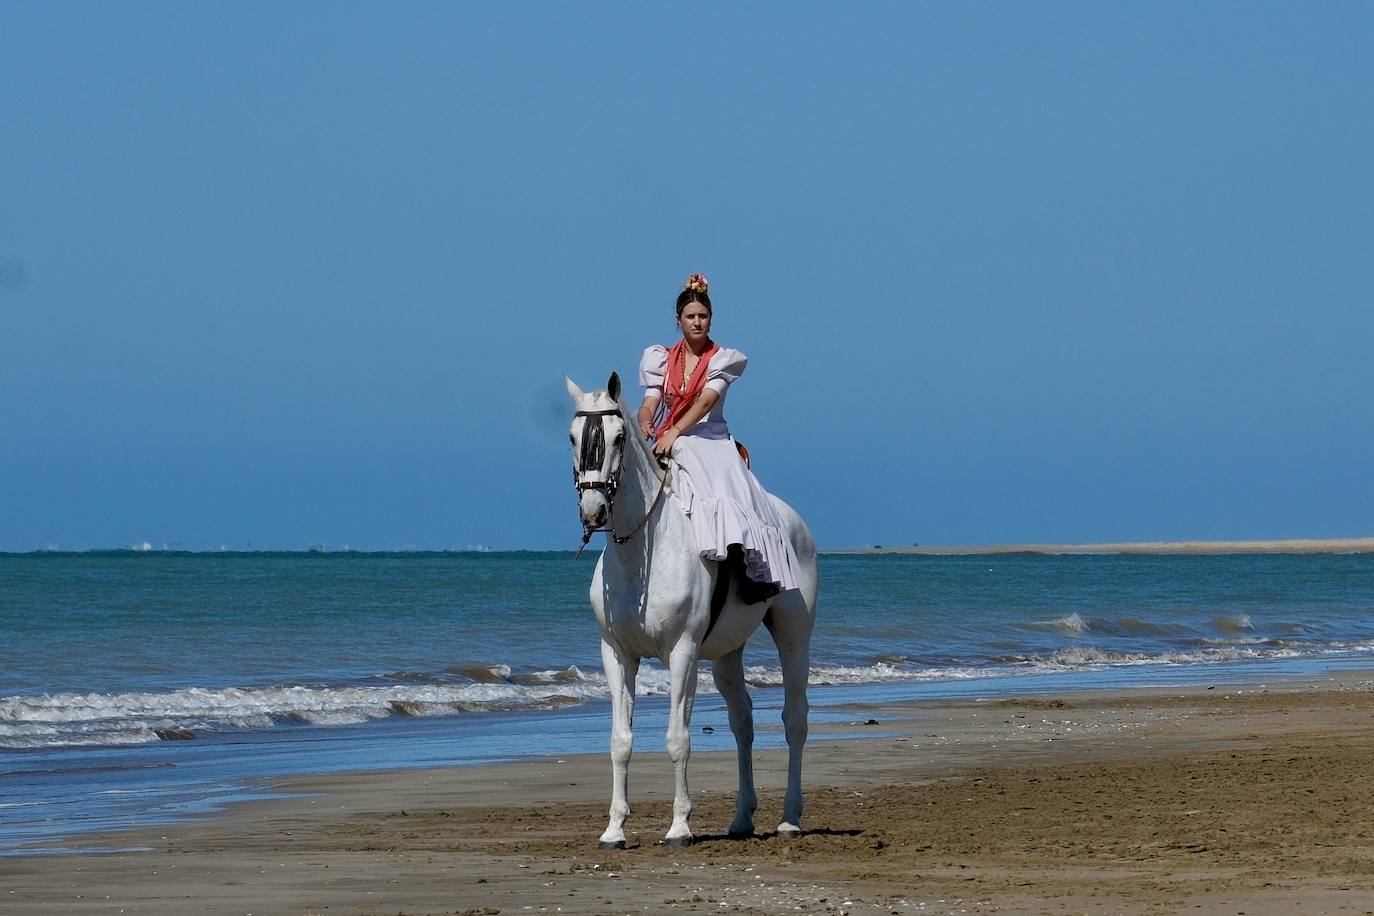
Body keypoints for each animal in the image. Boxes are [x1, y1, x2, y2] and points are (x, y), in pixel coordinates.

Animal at [566, 376, 813, 851]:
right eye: (572, 437)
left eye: (619, 437)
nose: (593, 512)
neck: (643, 554)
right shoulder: (616, 655)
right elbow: (620, 741)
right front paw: (614, 830)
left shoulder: (681, 654)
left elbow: (677, 738)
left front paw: (680, 826)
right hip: (726, 654)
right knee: (742, 722)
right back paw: (742, 818)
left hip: (794, 634)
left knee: (794, 718)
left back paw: (790, 818)